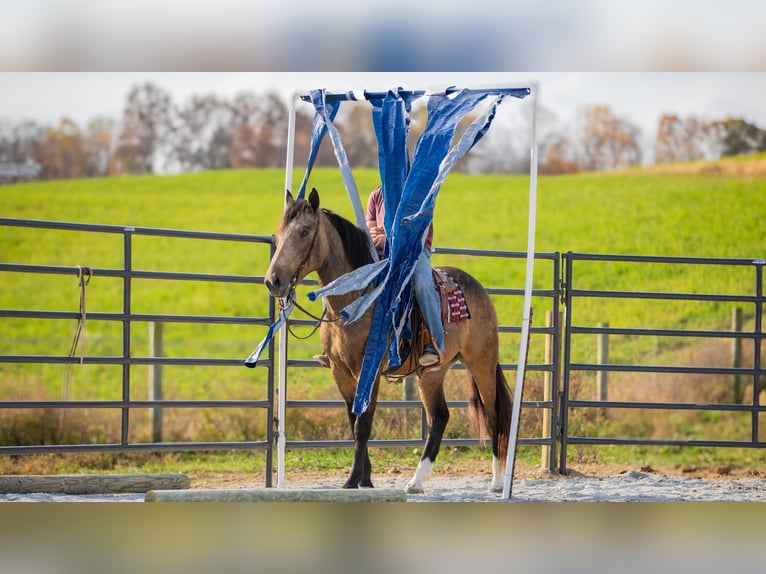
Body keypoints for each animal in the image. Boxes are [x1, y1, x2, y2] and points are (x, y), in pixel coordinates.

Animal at [266, 190, 516, 496]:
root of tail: (478, 288)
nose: (273, 280)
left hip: (481, 363)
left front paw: (352, 480)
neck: (357, 301)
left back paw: (497, 481)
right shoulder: (341, 372)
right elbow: (353, 421)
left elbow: (363, 424)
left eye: (304, 231)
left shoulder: (369, 369)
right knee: (439, 417)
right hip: (431, 373)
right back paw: (416, 482)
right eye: (278, 233)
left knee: (493, 413)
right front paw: (365, 479)